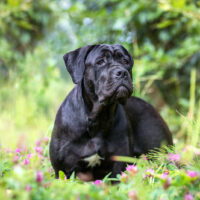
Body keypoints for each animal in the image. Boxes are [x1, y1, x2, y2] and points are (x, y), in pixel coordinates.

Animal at [49, 43, 173, 180]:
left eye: (125, 61)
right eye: (100, 62)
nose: (122, 72)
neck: (98, 118)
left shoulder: (118, 166)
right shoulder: (64, 170)